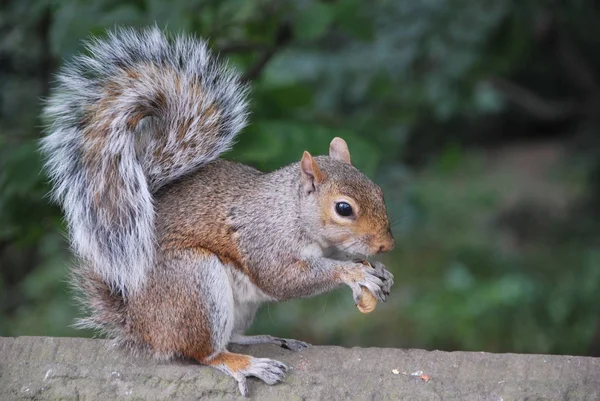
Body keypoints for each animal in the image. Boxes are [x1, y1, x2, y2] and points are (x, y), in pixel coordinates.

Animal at [41, 26, 394, 396]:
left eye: (378, 191)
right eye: (343, 208)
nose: (387, 245)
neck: (292, 210)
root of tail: (141, 326)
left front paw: (380, 272)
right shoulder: (264, 240)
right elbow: (284, 278)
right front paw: (353, 273)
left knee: (231, 335)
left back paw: (260, 340)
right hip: (194, 283)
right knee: (202, 353)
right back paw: (245, 364)